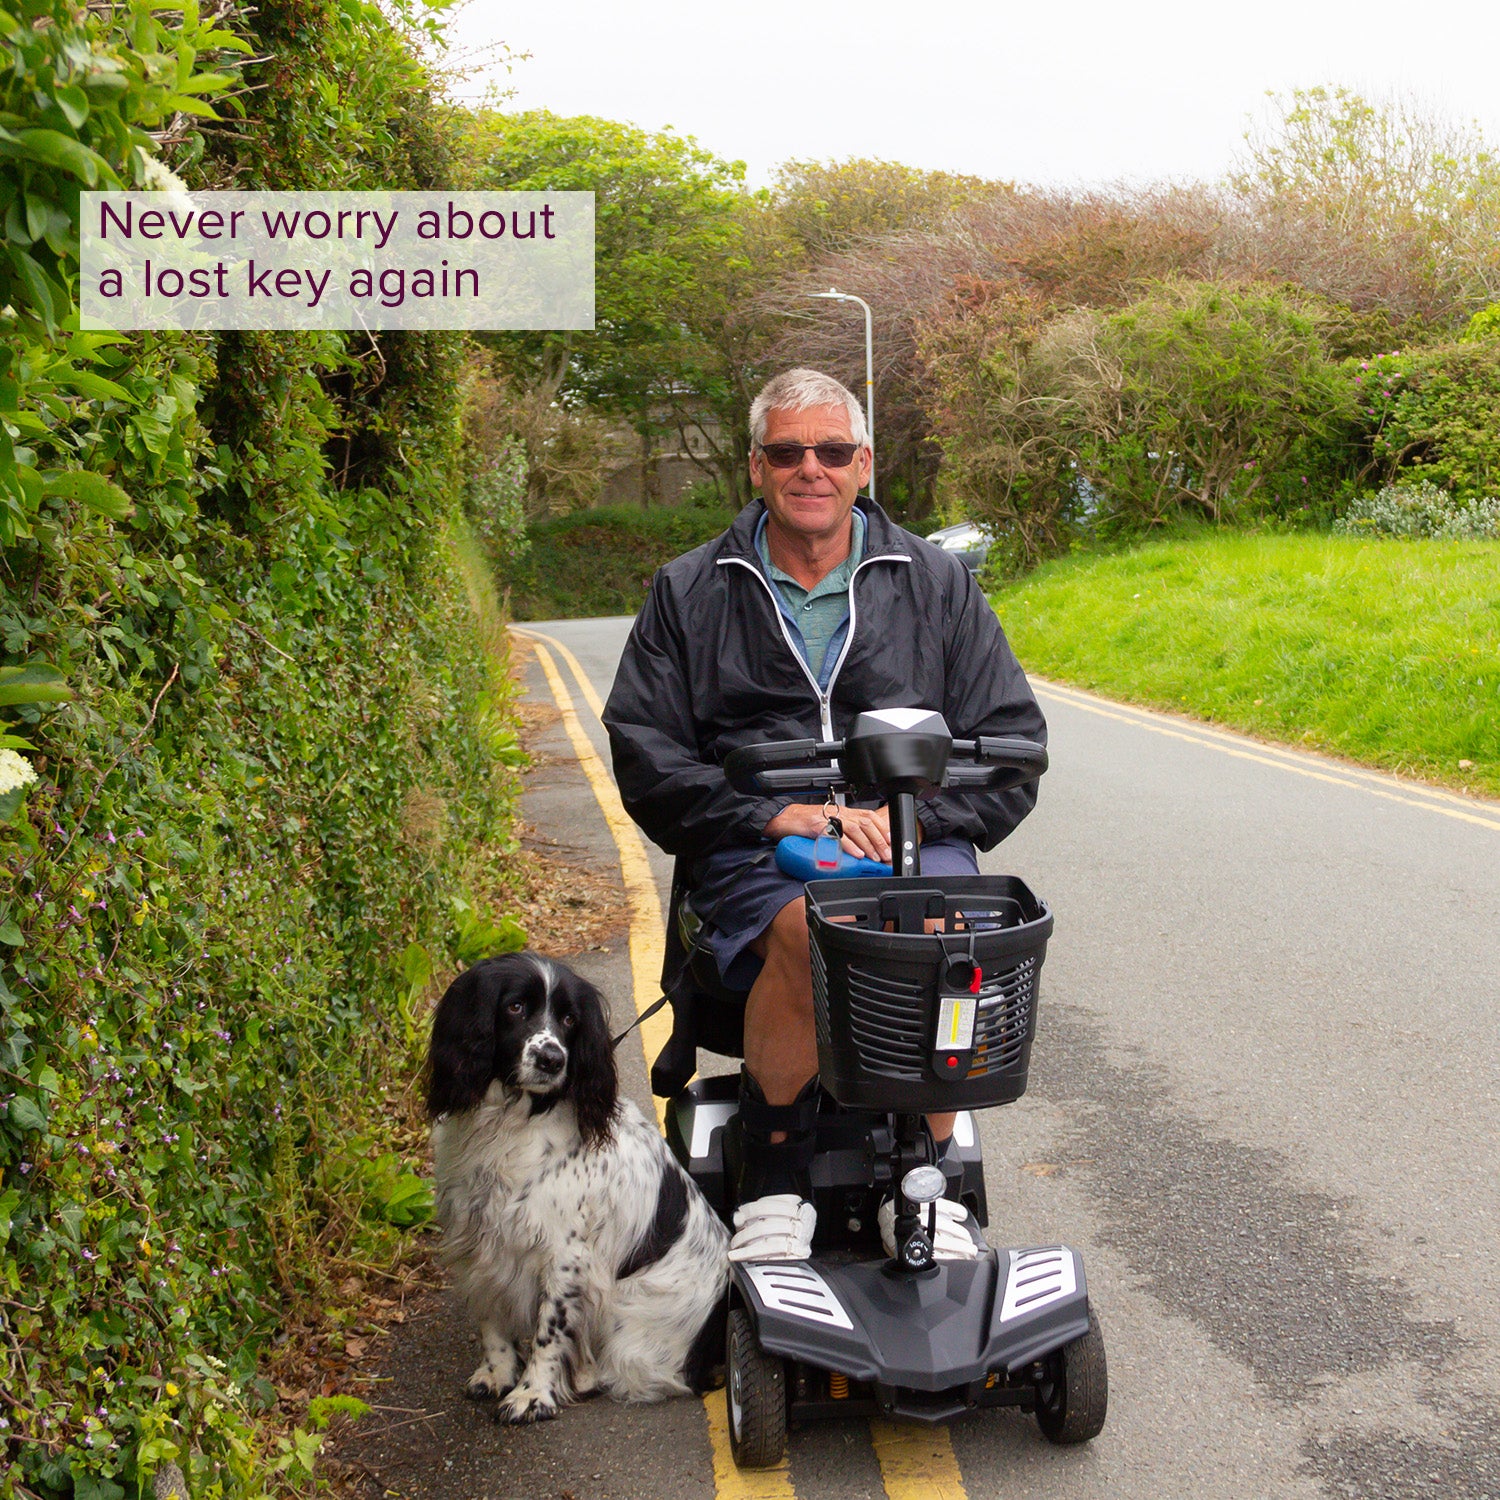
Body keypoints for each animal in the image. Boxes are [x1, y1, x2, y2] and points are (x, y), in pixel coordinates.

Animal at [426, 954, 729, 1422]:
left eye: (570, 1019)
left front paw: (532, 1394)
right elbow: (491, 1317)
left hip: (631, 1321)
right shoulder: (478, 1238)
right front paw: (497, 1373)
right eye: (515, 1007)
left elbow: (549, 1331)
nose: (552, 1059)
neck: (512, 1122)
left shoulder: (565, 1256)